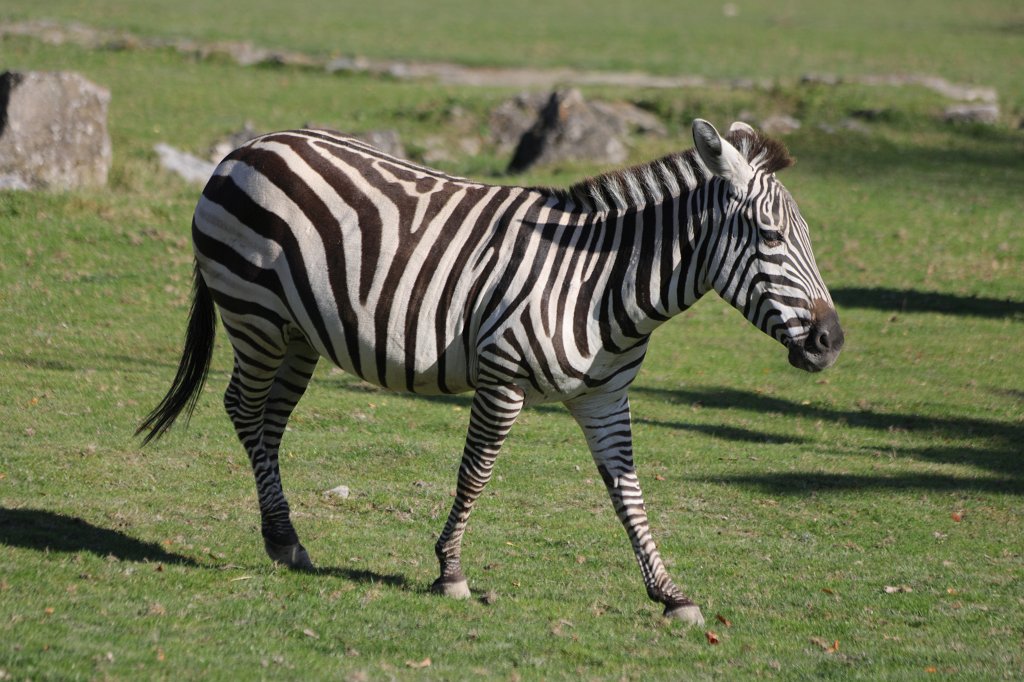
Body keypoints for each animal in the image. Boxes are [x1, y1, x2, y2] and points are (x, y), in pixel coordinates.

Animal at [138, 119, 843, 626]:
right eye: (771, 238)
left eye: (806, 236)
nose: (832, 342)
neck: (600, 284)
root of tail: (247, 148)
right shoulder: (501, 380)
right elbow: (473, 475)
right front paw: (450, 572)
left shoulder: (607, 398)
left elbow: (629, 494)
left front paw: (671, 594)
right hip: (252, 315)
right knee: (243, 409)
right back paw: (283, 536)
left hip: (296, 334)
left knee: (270, 421)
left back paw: (284, 539)